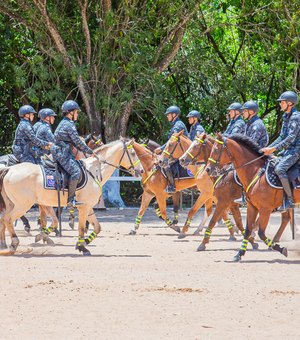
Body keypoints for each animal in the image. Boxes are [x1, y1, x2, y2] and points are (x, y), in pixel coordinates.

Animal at [0, 138, 144, 255]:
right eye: (132, 153)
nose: (142, 171)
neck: (94, 171)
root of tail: (10, 169)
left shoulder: (88, 207)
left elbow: (97, 227)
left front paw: (84, 242)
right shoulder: (83, 208)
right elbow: (80, 227)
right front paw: (82, 247)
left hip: (12, 204)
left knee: (2, 218)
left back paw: (3, 244)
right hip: (22, 205)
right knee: (7, 219)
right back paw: (14, 243)